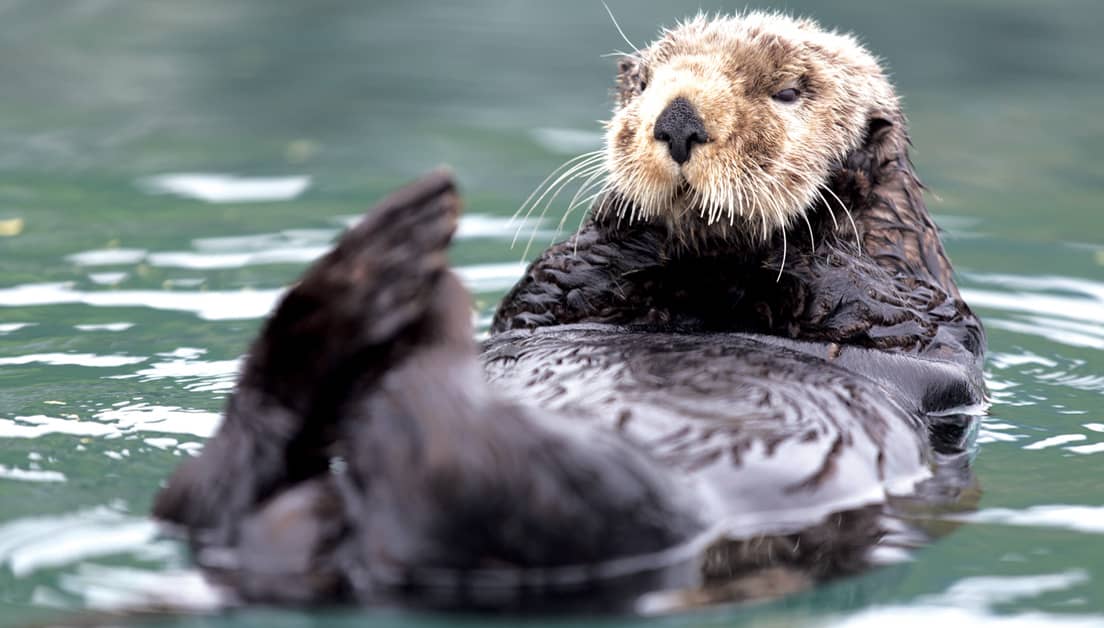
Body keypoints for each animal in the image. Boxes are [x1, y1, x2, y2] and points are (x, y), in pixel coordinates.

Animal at [151, 12, 985, 613]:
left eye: (788, 91)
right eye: (644, 83)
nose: (677, 118)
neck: (694, 295)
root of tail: (339, 535)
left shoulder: (909, 308)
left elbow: (856, 293)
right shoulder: (556, 302)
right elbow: (554, 288)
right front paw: (624, 234)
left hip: (607, 506)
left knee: (446, 449)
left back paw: (407, 279)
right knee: (212, 486)